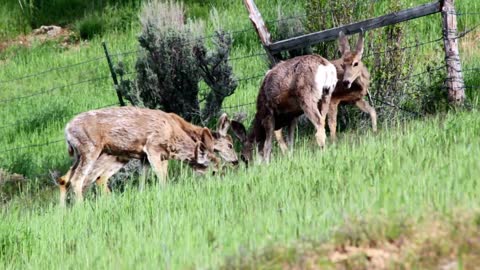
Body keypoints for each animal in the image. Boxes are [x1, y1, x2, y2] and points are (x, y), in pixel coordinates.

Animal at [57, 106, 238, 206]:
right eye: (230, 145)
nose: (236, 161)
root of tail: (67, 129)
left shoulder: (148, 157)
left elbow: (143, 181)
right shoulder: (152, 148)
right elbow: (162, 178)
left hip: (85, 155)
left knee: (66, 179)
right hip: (91, 149)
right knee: (80, 179)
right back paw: (81, 207)